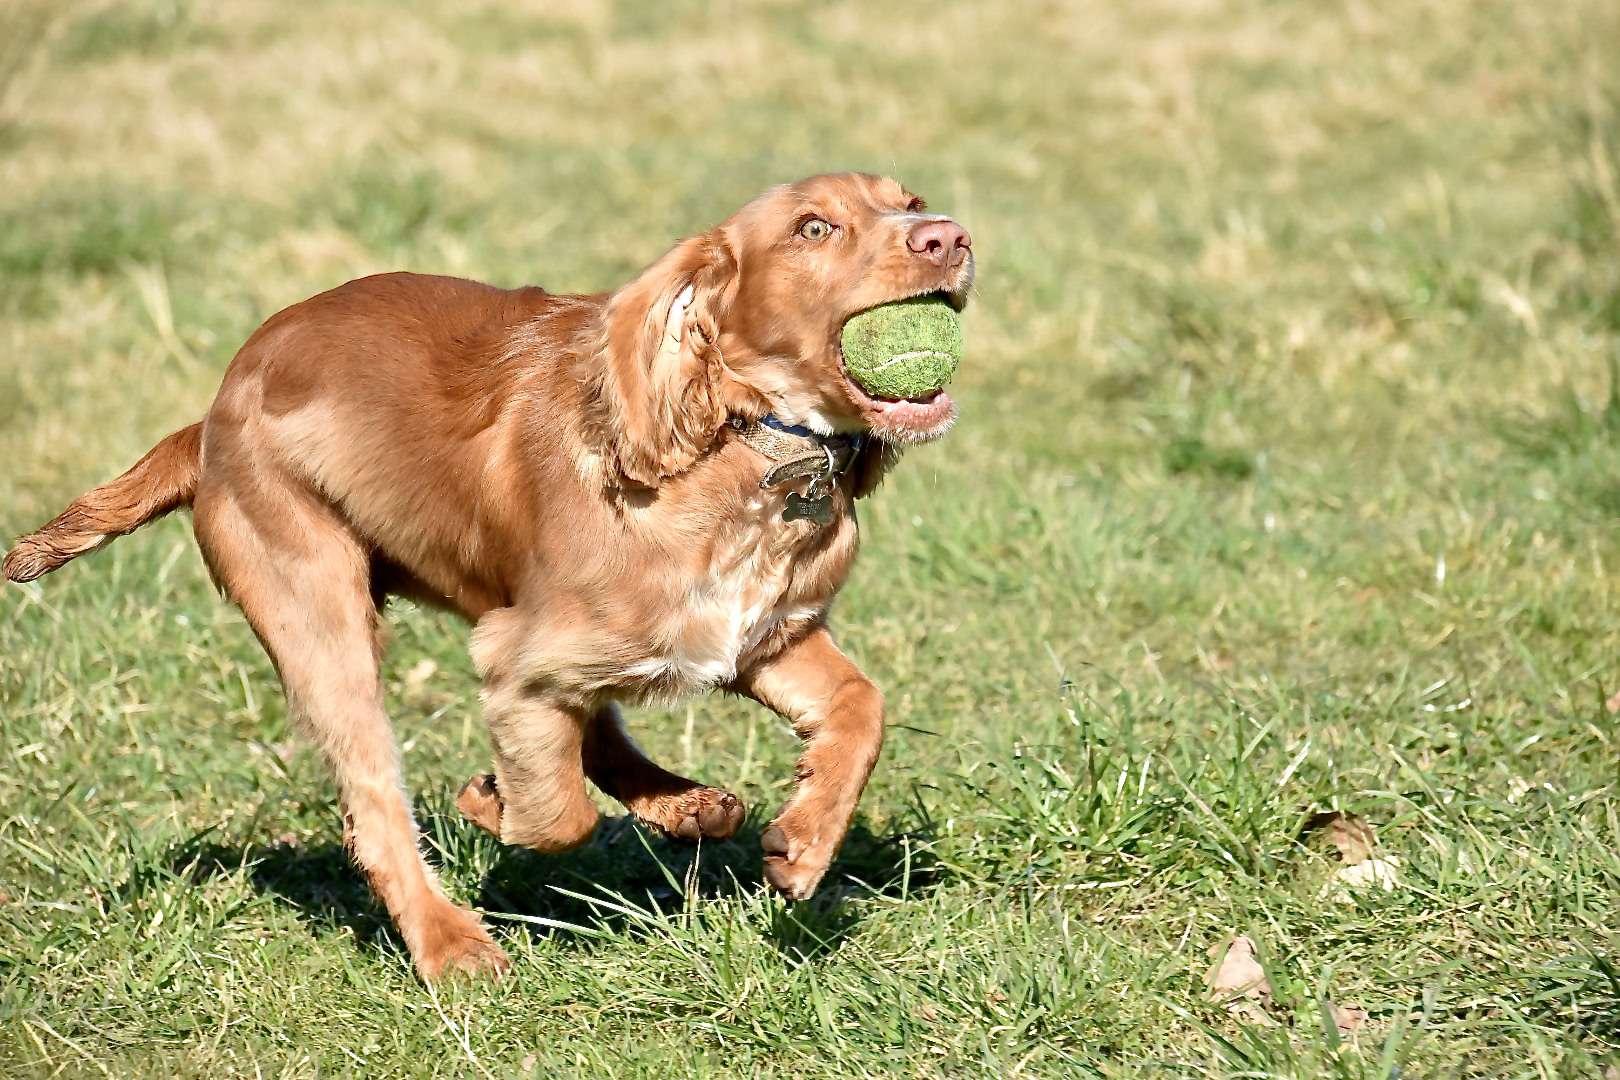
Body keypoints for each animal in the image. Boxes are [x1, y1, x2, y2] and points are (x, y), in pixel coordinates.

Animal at [6, 173, 972, 984]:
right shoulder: (516, 652)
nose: (950, 235)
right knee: (376, 802)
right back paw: (452, 945)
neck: (745, 453)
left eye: (908, 199)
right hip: (319, 610)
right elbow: (558, 817)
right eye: (814, 228)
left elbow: (862, 706)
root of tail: (208, 417)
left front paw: (804, 842)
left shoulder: (759, 637)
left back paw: (687, 806)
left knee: (595, 724)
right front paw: (490, 802)